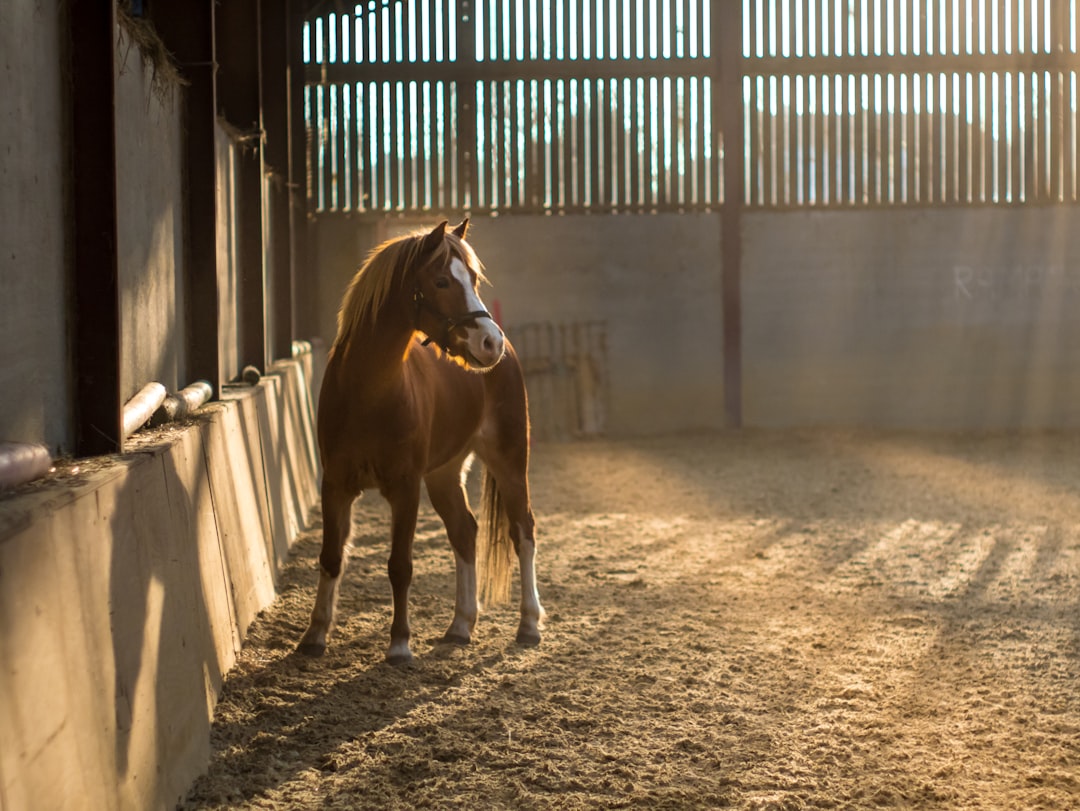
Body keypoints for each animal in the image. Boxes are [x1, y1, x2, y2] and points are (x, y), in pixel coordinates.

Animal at [298, 219, 544, 665]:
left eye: (474, 279)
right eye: (442, 280)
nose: (490, 342)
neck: (368, 392)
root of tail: (511, 355)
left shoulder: (405, 488)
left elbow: (400, 565)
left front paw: (399, 644)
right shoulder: (336, 485)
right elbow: (330, 557)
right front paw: (315, 635)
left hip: (510, 461)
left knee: (523, 530)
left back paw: (529, 624)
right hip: (444, 475)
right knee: (465, 531)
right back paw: (461, 625)